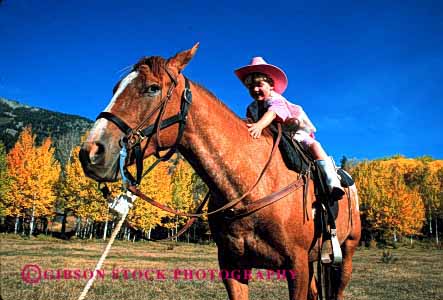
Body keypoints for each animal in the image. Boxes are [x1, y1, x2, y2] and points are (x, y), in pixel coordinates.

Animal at [80, 44, 360, 300]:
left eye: (152, 88)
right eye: (116, 88)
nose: (91, 152)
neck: (250, 187)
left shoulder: (298, 267)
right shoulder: (233, 268)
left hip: (345, 254)